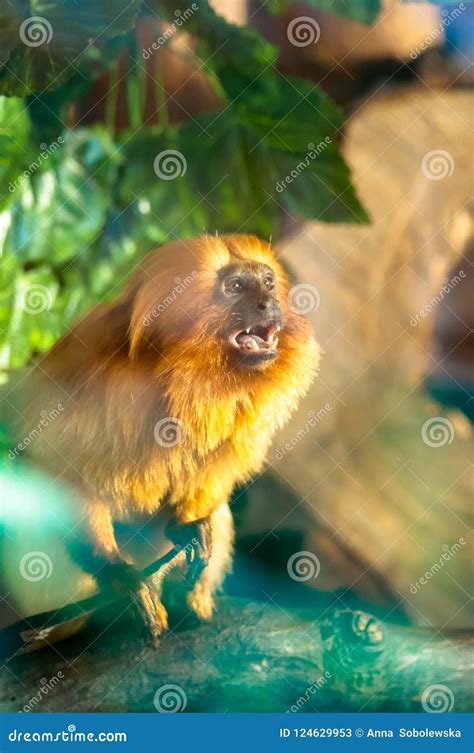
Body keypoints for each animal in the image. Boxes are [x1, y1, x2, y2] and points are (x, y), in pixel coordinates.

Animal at [20, 234, 319, 644]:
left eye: (268, 283)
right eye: (235, 287)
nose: (268, 304)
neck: (180, 374)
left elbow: (214, 472)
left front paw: (186, 529)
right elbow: (55, 472)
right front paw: (118, 576)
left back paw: (190, 602)